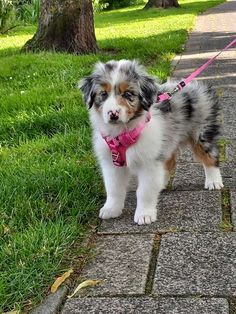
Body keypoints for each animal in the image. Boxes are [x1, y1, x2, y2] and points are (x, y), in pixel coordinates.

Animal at [79, 60, 223, 224]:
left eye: (128, 94)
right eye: (103, 94)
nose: (113, 114)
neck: (122, 132)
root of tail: (196, 85)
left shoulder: (148, 163)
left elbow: (144, 191)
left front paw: (144, 214)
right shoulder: (111, 162)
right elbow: (113, 188)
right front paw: (111, 209)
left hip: (202, 133)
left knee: (210, 157)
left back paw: (214, 181)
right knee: (170, 162)